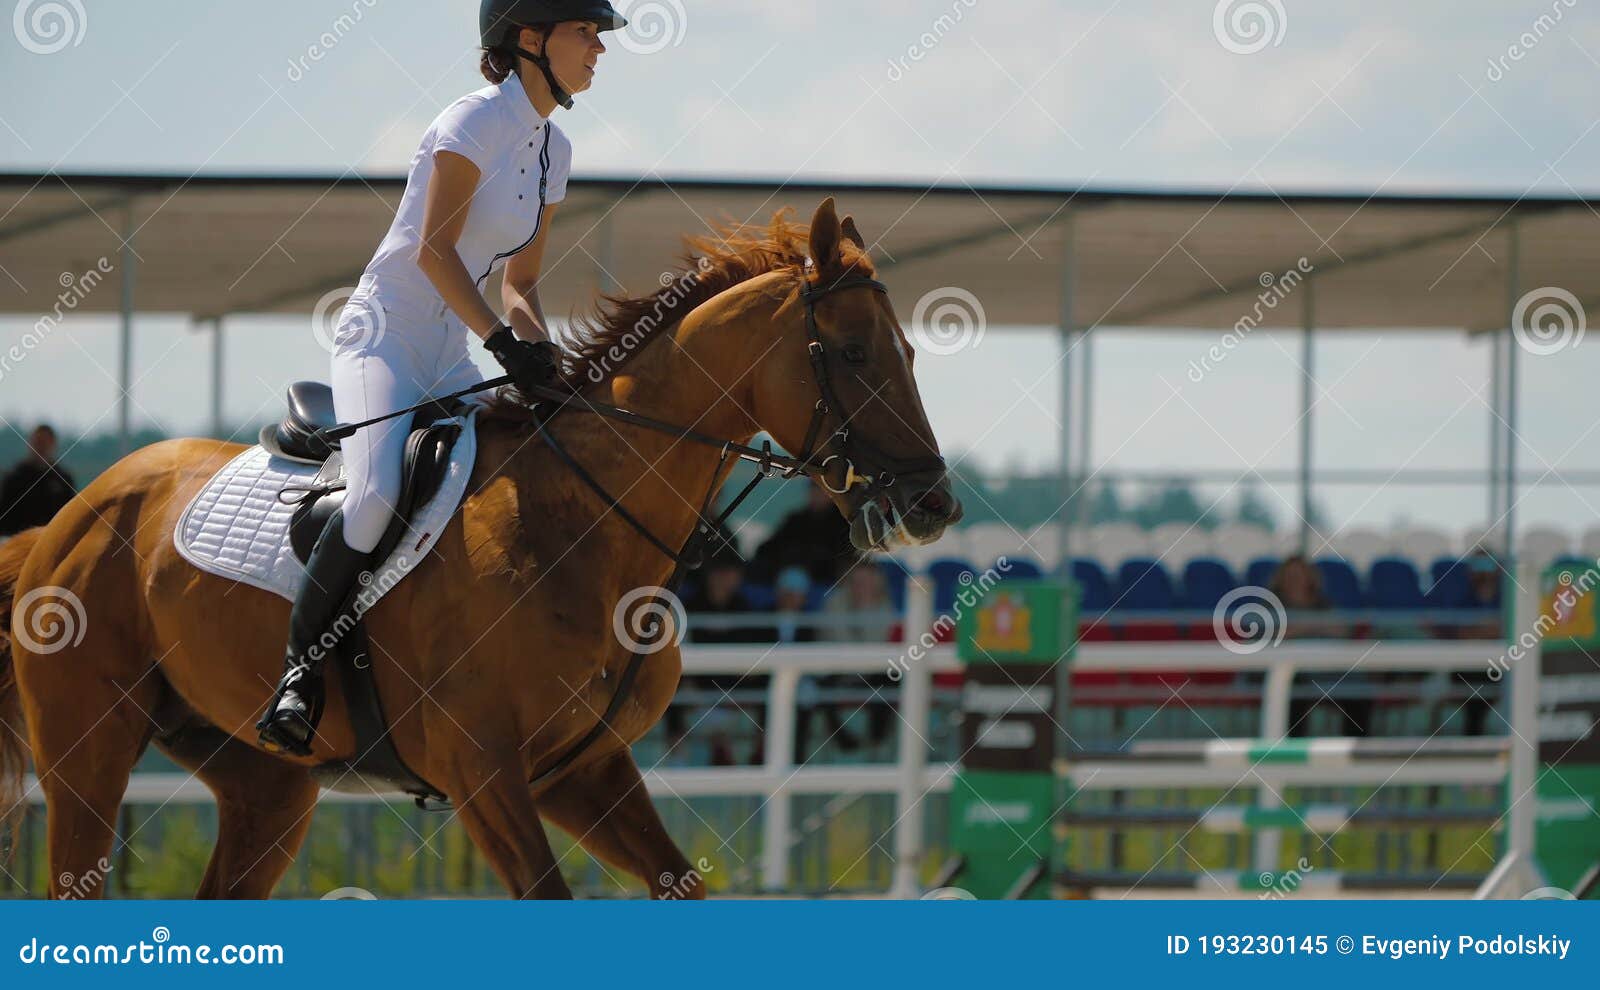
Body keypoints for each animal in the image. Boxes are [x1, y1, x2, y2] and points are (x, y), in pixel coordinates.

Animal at [0, 197, 960, 902]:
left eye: (911, 352)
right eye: (851, 351)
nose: (932, 504)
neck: (584, 527)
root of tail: (67, 518)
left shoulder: (581, 771)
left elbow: (679, 885)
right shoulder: (484, 774)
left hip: (268, 785)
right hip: (89, 751)